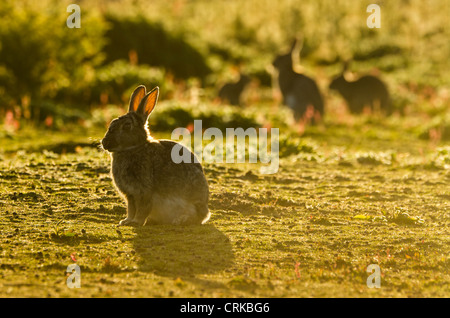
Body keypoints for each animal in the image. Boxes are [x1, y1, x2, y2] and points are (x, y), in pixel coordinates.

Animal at [101, 85, 210, 226]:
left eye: (127, 126)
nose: (104, 143)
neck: (133, 148)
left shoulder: (144, 191)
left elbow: (142, 209)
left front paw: (136, 222)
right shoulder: (130, 195)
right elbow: (131, 209)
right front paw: (126, 221)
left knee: (197, 217)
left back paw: (181, 219)